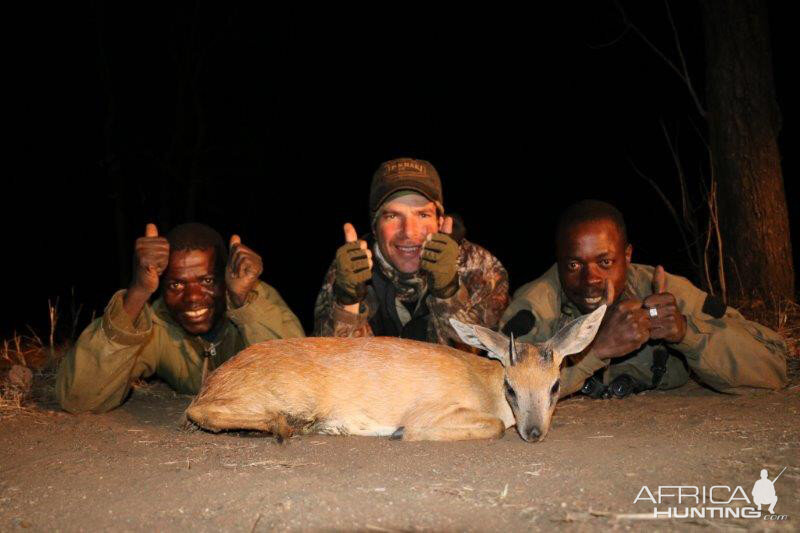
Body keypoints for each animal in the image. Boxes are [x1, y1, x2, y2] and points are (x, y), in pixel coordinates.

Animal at [184, 304, 604, 440]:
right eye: (510, 387)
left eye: (555, 386)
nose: (534, 433)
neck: (485, 385)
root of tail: (213, 380)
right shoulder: (428, 412)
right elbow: (496, 426)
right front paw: (400, 434)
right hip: (284, 394)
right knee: (199, 411)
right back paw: (288, 426)